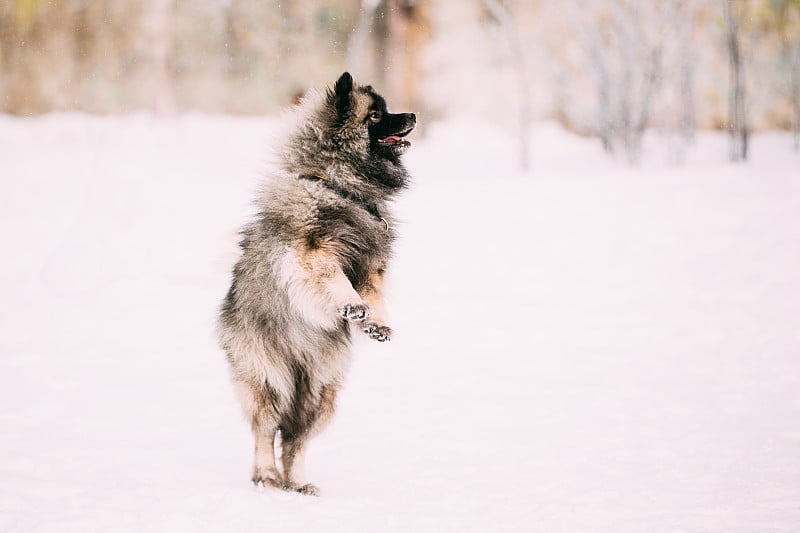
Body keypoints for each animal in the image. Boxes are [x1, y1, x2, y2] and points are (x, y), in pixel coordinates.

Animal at [219, 71, 418, 494]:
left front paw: (377, 324)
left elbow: (375, 296)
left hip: (322, 393)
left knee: (296, 441)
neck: (339, 186)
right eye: (375, 115)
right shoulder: (312, 252)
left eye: (387, 109)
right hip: (269, 379)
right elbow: (336, 279)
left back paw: (297, 483)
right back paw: (266, 477)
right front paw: (351, 305)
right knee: (266, 432)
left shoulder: (371, 266)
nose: (412, 114)